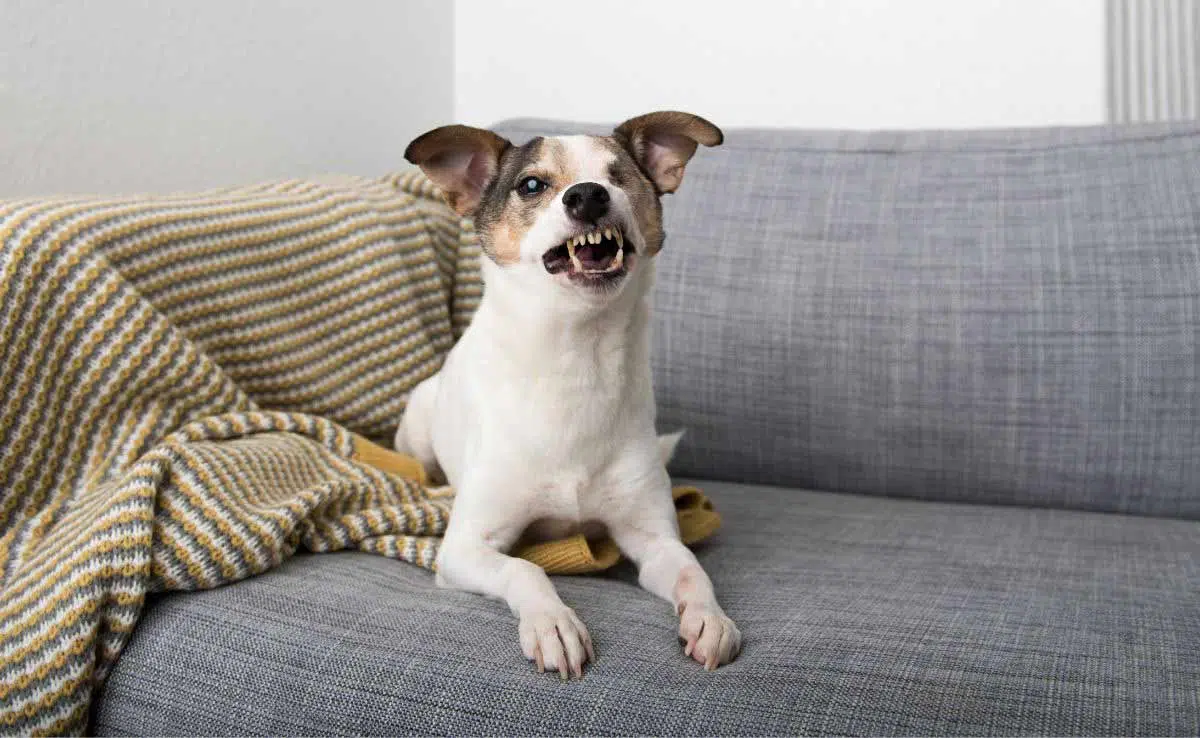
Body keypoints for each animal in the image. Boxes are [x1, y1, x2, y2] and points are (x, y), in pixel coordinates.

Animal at [396, 106, 739, 676]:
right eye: (532, 184)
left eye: (619, 176)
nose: (588, 195)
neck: (578, 356)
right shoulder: (465, 549)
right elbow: (525, 570)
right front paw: (553, 624)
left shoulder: (652, 538)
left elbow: (692, 567)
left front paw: (709, 619)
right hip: (418, 424)